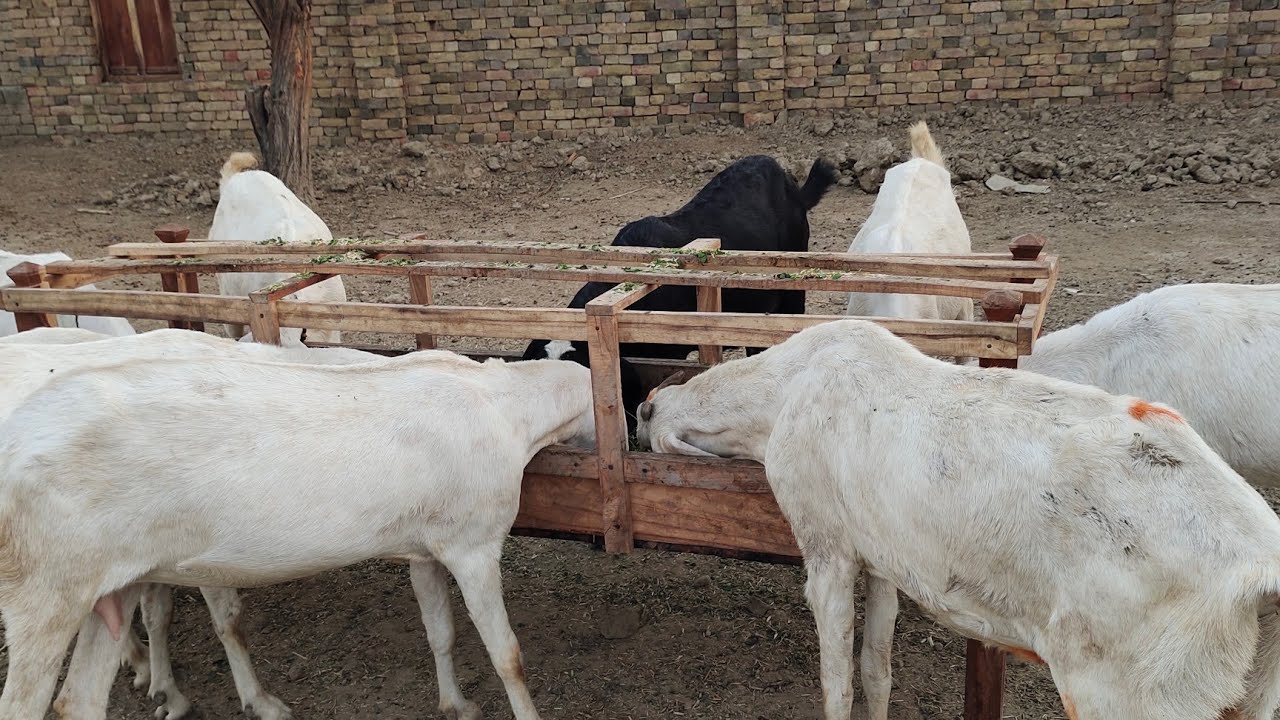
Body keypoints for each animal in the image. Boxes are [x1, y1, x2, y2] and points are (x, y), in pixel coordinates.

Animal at [0, 328, 386, 719]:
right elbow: (227, 619)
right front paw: (257, 701)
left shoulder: (152, 558)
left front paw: (164, 690)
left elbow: (157, 612)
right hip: (43, 593)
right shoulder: (206, 553)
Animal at [637, 318, 1280, 720]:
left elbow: (836, 685)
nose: (646, 405)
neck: (779, 398)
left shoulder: (827, 546)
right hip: (1242, 693)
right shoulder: (883, 555)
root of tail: (1261, 575)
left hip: (1134, 689)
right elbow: (876, 669)